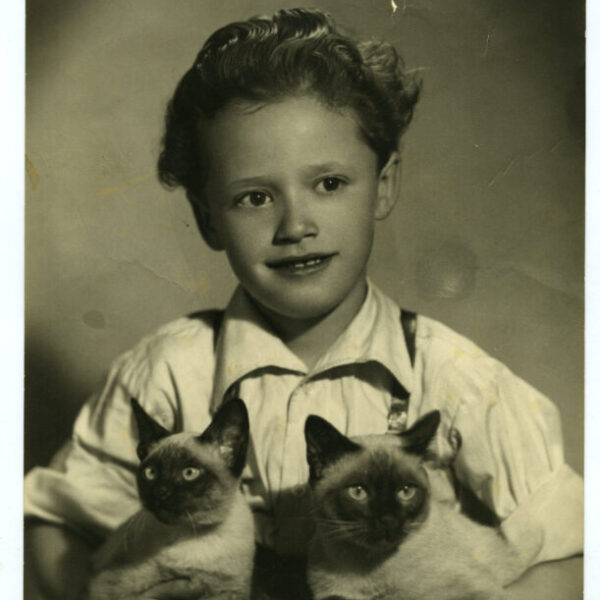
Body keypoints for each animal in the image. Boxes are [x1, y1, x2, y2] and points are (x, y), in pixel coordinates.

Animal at [82, 397, 255, 600]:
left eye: (189, 473)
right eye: (151, 473)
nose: (160, 491)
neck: (193, 536)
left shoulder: (230, 592)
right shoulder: (109, 586)